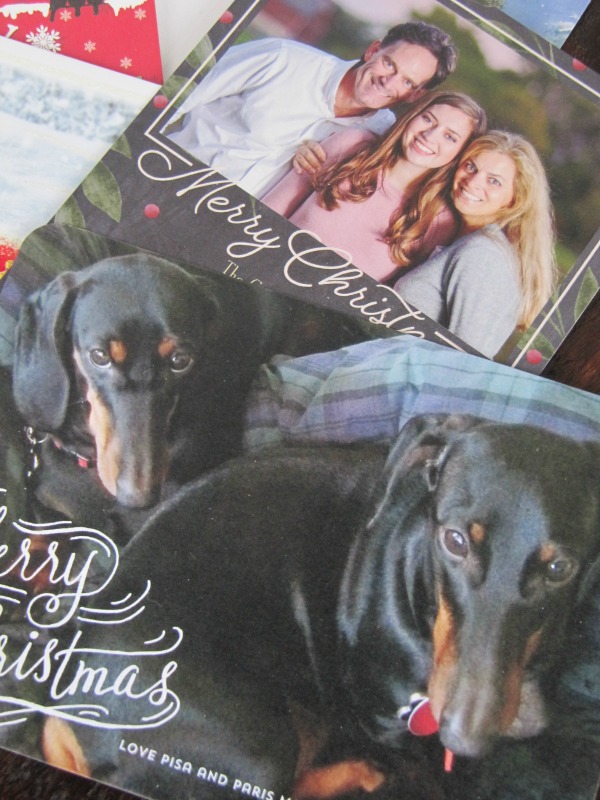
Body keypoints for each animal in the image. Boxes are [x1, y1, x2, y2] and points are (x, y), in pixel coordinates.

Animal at [37, 414, 600, 799]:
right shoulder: (385, 729)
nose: (467, 736)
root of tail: (74, 721)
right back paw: (360, 773)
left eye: (560, 568)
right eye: (455, 540)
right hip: (259, 746)